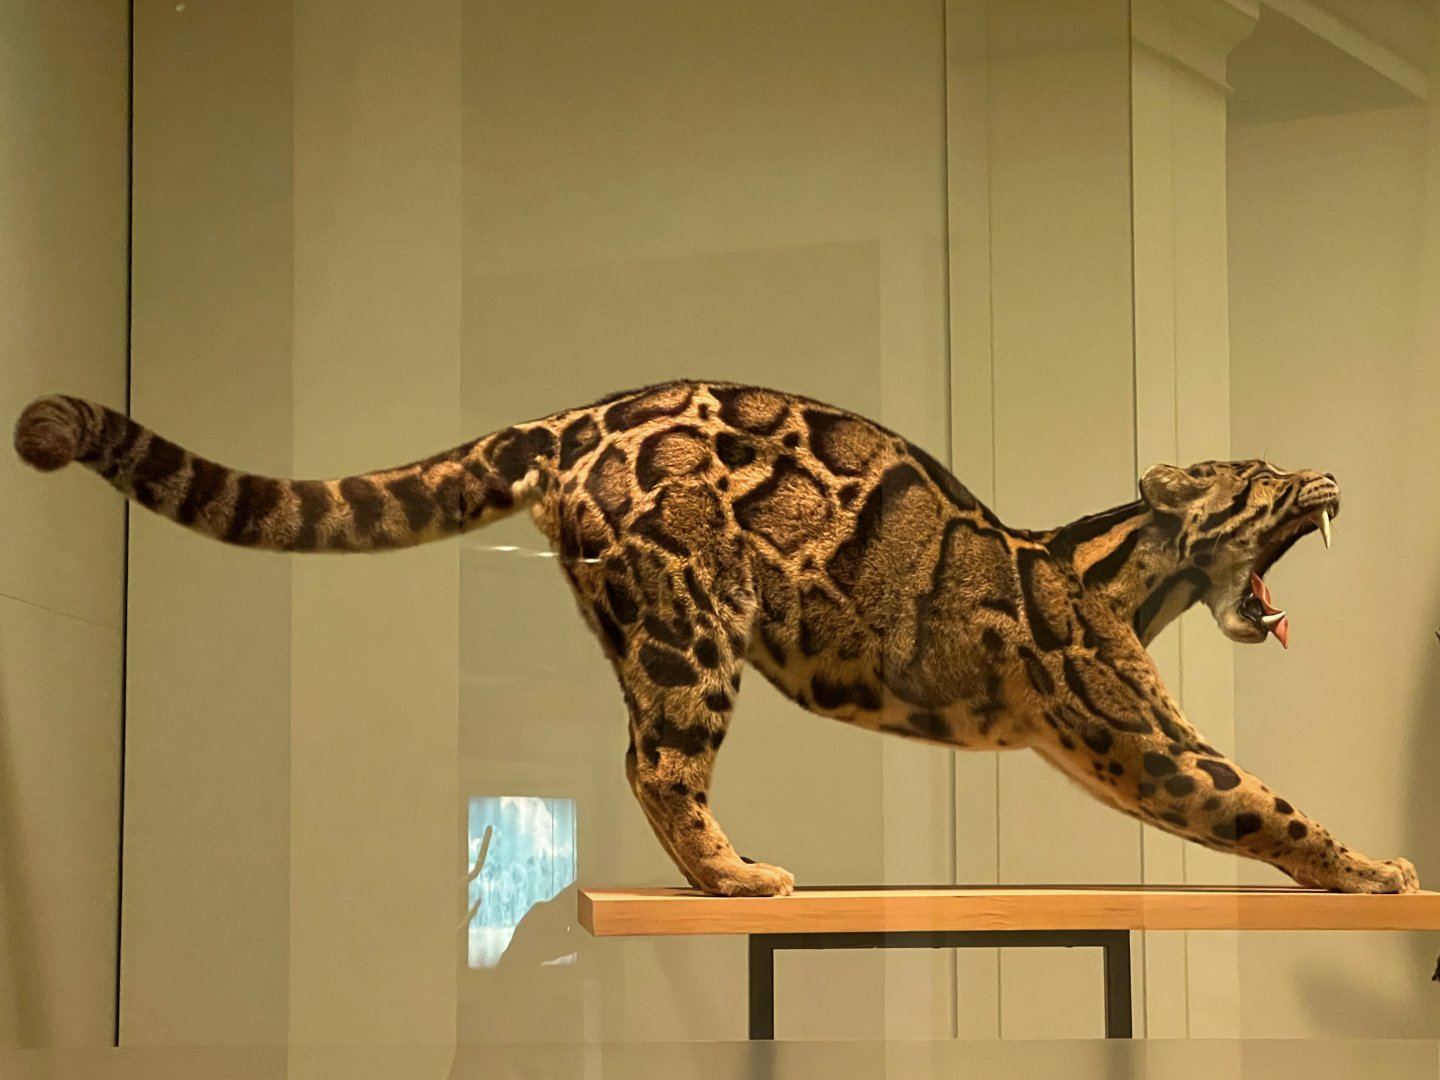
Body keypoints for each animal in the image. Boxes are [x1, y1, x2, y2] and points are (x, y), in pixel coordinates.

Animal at [14, 380, 1419, 897]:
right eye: (1268, 474)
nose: (1331, 474)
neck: (1140, 581)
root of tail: (572, 417)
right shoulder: (1143, 738)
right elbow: (1264, 801)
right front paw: (1375, 870)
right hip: (687, 630)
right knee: (656, 762)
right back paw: (735, 879)